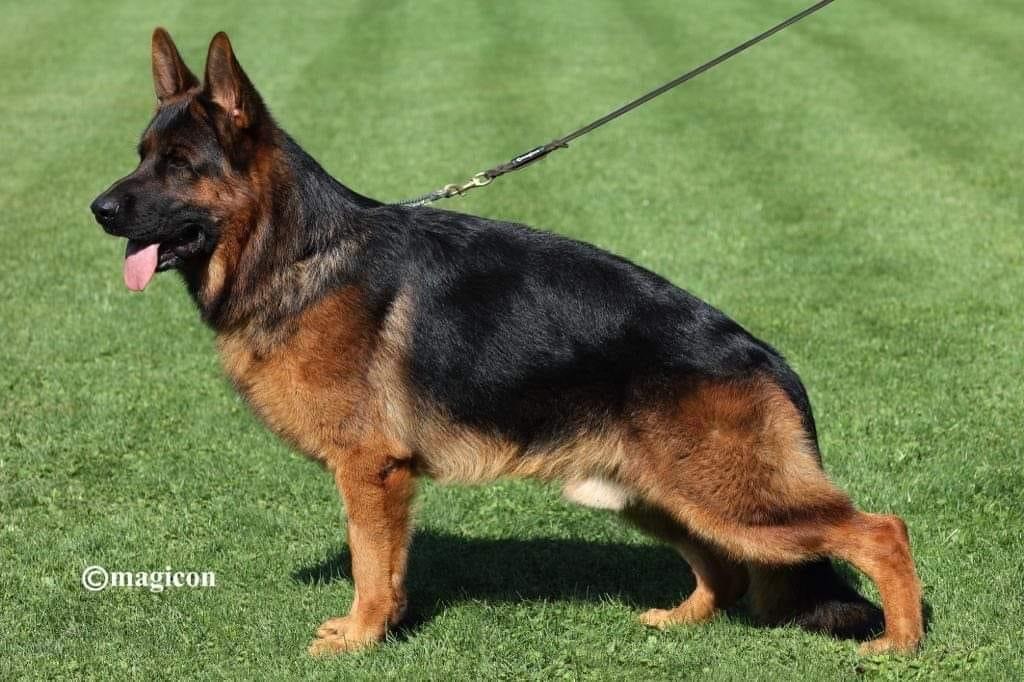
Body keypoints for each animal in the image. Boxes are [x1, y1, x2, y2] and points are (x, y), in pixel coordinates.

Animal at [88, 29, 925, 651]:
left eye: (178, 166)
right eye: (140, 156)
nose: (98, 208)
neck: (296, 253)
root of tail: (767, 358)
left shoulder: (371, 472)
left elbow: (370, 567)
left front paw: (360, 639)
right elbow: (383, 569)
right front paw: (375, 632)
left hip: (730, 497)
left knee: (881, 531)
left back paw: (901, 644)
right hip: (658, 494)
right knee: (725, 568)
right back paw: (682, 621)